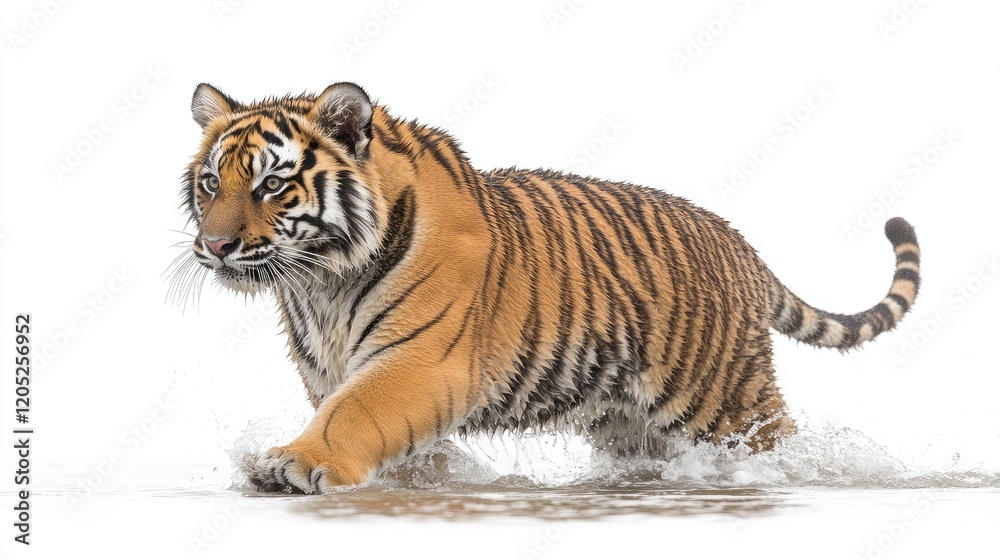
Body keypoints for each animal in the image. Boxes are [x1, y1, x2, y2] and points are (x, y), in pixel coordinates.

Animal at [176, 82, 921, 493]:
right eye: (212, 182)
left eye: (273, 184)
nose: (215, 246)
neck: (318, 283)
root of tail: (738, 241)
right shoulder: (332, 369)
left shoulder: (421, 361)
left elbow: (354, 414)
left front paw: (295, 464)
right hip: (630, 420)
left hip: (725, 397)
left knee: (779, 441)